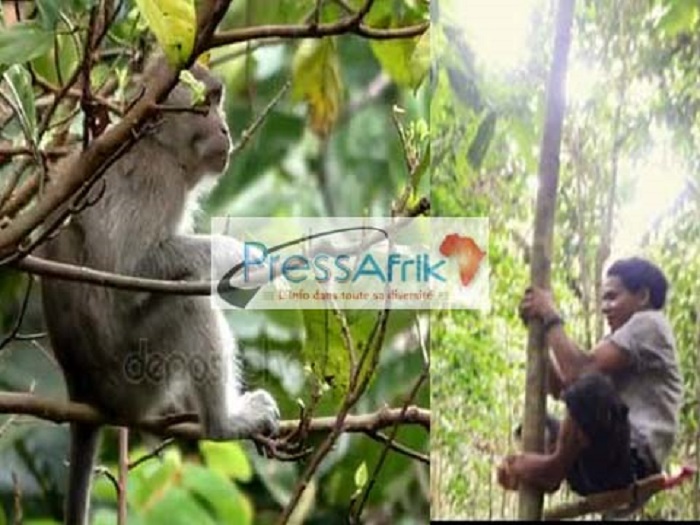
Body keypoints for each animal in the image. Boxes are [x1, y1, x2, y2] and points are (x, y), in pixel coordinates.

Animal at [38, 59, 280, 525]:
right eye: (206, 105)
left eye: (218, 101)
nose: (226, 128)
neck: (157, 143)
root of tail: (83, 390)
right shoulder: (158, 180)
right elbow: (130, 266)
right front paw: (239, 254)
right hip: (136, 376)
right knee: (187, 303)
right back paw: (223, 423)